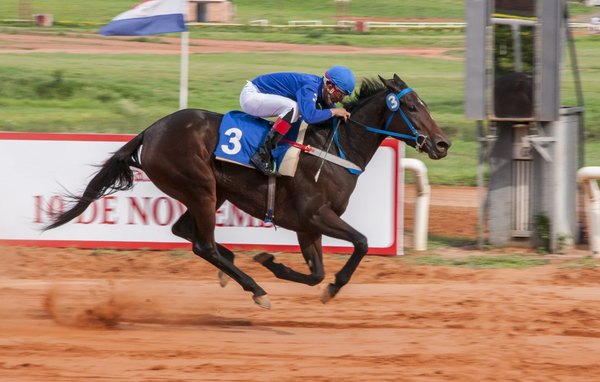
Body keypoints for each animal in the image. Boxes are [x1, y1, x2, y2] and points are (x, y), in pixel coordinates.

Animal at [44, 74, 450, 308]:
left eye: (425, 104)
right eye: (411, 106)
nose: (442, 144)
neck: (335, 148)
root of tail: (151, 130)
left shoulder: (307, 225)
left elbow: (317, 272)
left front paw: (273, 262)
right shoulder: (315, 214)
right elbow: (363, 243)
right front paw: (331, 287)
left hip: (213, 191)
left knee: (186, 231)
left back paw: (233, 265)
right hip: (201, 188)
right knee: (202, 243)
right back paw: (254, 288)